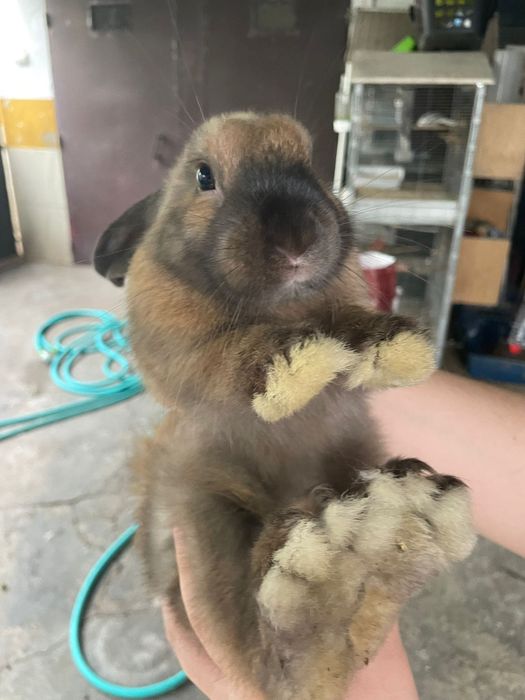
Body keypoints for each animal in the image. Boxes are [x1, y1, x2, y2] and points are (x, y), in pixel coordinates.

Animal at [94, 112, 476, 700]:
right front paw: (294, 364)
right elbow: (225, 358)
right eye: (203, 176)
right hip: (203, 517)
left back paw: (399, 521)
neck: (284, 306)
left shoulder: (340, 306)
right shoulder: (178, 355)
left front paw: (395, 346)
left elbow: (349, 324)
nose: (297, 239)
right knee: (261, 649)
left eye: (310, 163)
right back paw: (330, 569)